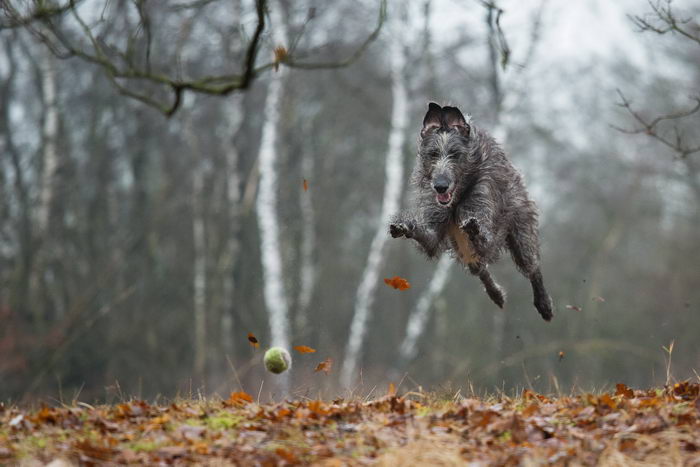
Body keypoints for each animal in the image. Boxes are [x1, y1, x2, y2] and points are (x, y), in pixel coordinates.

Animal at [388, 102, 552, 322]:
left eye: (455, 154)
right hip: (462, 248)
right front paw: (404, 226)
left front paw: (475, 229)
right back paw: (495, 293)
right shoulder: (435, 223)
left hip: (522, 228)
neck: (458, 198)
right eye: (433, 153)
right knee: (479, 268)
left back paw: (543, 303)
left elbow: (485, 239)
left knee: (532, 266)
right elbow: (429, 239)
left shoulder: (484, 207)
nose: (440, 186)